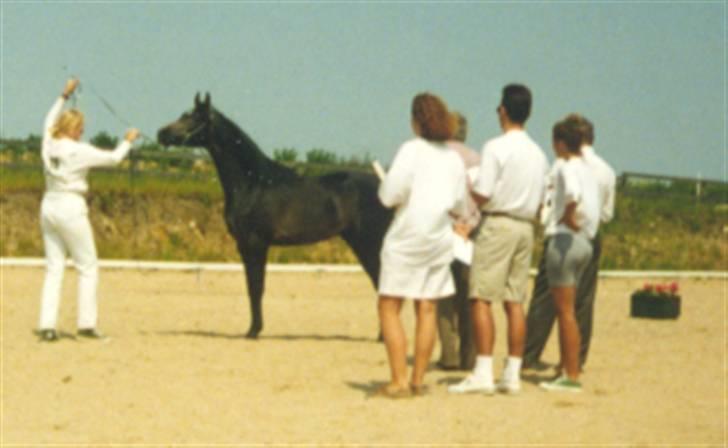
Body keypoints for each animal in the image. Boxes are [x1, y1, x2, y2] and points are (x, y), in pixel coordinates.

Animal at [158, 94, 392, 338]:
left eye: (194, 118)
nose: (161, 134)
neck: (253, 183)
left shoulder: (256, 244)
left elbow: (256, 287)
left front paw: (254, 331)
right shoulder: (244, 246)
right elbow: (251, 287)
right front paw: (253, 329)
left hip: (368, 243)